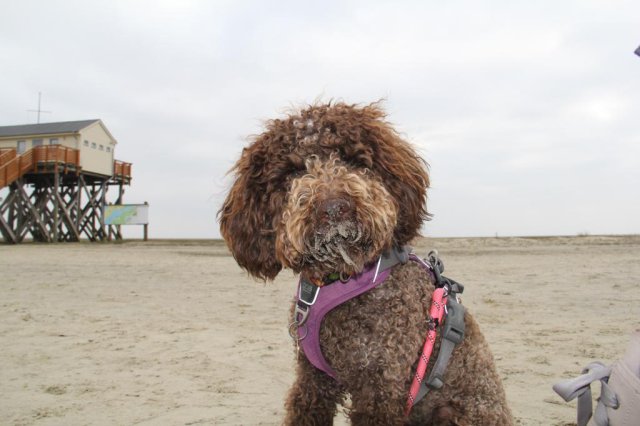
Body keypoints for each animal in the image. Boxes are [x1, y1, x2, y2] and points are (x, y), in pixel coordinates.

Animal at [218, 101, 512, 424]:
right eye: (293, 170)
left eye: (354, 160)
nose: (334, 207)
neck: (338, 282)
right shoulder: (313, 378)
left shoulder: (381, 386)